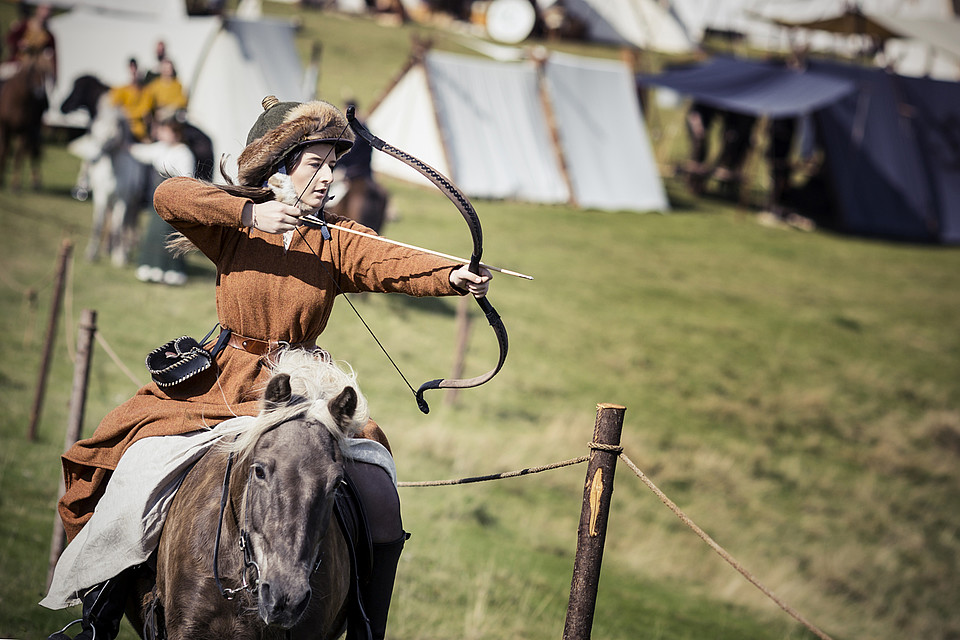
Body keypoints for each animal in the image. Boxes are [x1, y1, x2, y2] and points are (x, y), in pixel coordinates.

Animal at [0, 51, 53, 189]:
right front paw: (2, 180)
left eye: (47, 74)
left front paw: (16, 184)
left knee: (33, 150)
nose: (40, 93)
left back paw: (35, 181)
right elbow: (4, 151)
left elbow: (18, 157)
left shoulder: (25, 130)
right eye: (32, 72)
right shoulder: (4, 128)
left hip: (34, 129)